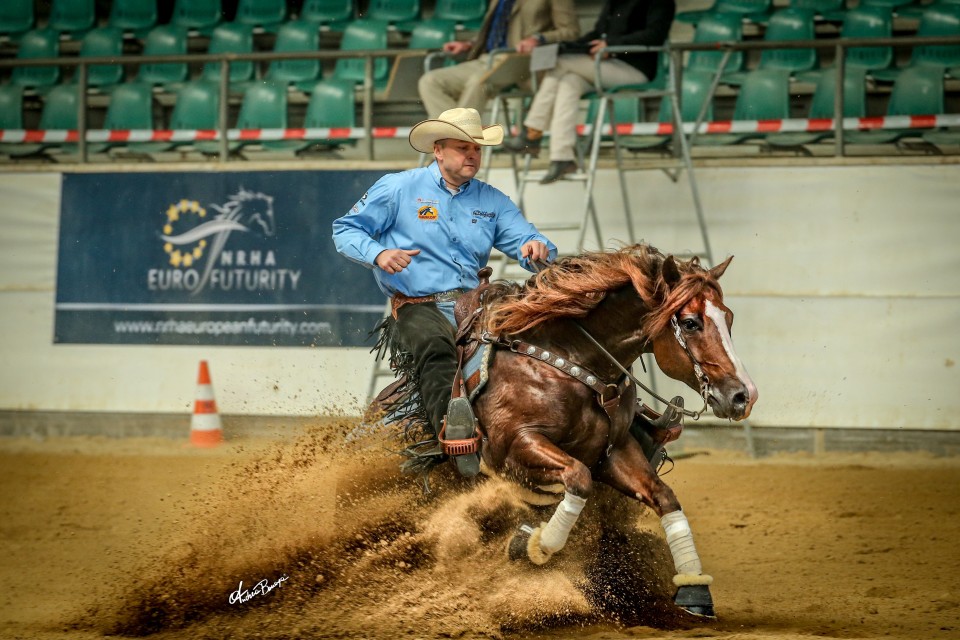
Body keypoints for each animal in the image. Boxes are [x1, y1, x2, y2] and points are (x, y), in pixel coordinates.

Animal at [376, 242, 756, 616]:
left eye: (729, 318)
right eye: (690, 323)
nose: (743, 395)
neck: (570, 359)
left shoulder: (614, 451)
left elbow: (663, 497)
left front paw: (694, 589)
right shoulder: (515, 447)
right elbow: (578, 478)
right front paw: (529, 543)